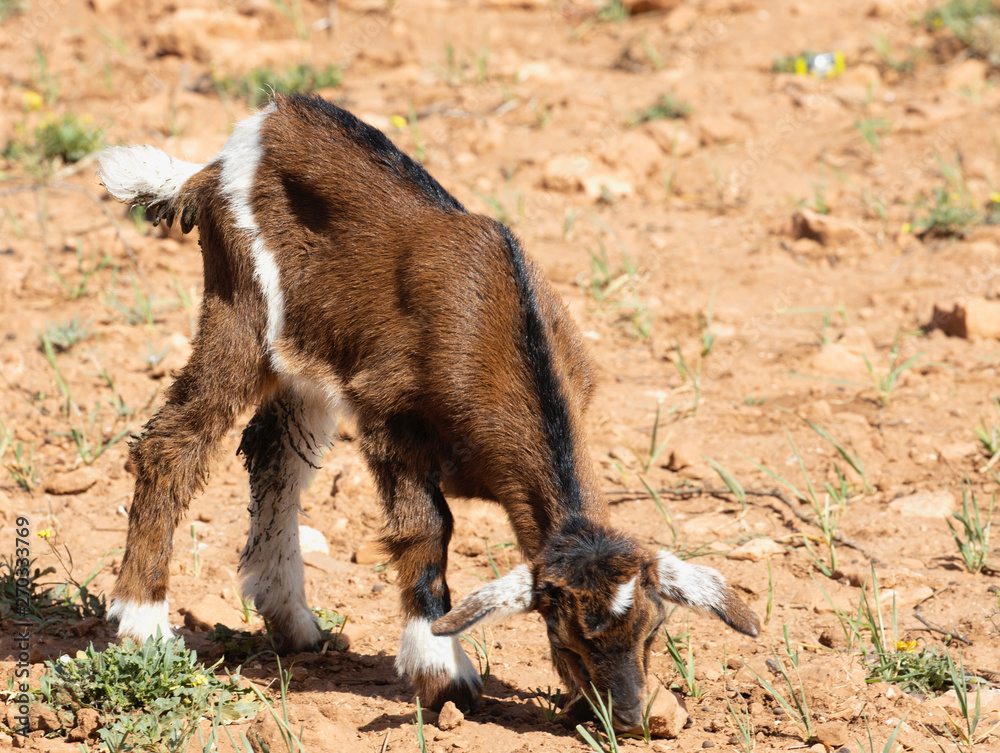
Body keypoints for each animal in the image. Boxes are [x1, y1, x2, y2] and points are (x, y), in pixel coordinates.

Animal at [97, 93, 759, 731]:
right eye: (567, 639)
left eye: (654, 632)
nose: (624, 717)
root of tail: (216, 164)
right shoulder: (388, 421)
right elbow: (428, 528)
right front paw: (443, 671)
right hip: (241, 307)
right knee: (173, 443)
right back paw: (145, 625)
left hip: (309, 352)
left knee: (274, 457)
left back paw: (295, 625)